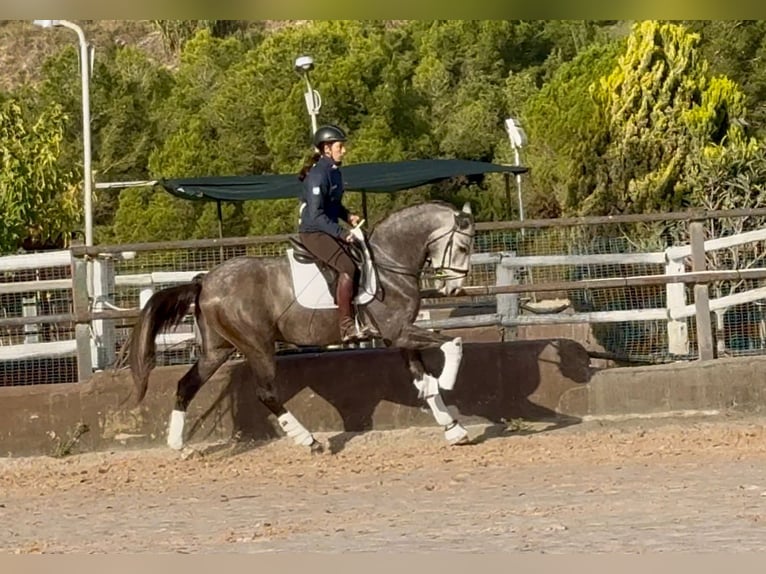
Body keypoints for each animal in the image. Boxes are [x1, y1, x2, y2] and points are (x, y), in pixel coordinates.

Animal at [124, 200, 476, 453]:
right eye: (462, 248)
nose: (452, 289)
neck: (389, 264)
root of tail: (205, 282)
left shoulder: (399, 336)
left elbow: (423, 379)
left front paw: (453, 428)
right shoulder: (399, 332)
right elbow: (452, 344)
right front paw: (447, 383)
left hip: (218, 349)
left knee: (187, 385)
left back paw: (177, 444)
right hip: (258, 346)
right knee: (266, 393)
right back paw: (309, 440)